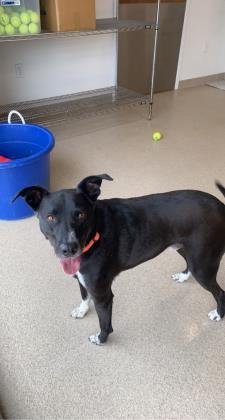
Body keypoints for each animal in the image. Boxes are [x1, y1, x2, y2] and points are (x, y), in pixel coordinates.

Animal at [14, 176, 225, 346]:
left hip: (203, 266)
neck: (95, 233)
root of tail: (221, 206)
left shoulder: (103, 295)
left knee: (220, 293)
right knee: (189, 265)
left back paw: (218, 314)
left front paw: (101, 339)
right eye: (50, 217)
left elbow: (104, 323)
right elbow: (84, 296)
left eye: (81, 214)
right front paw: (82, 311)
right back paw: (183, 277)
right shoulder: (82, 279)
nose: (69, 249)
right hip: (184, 249)